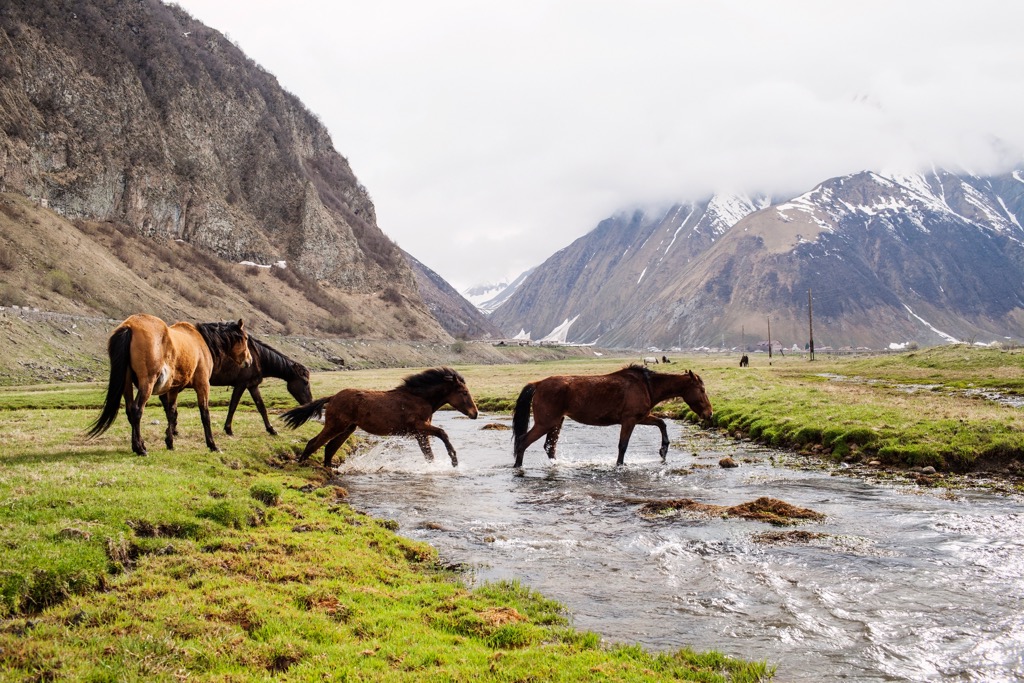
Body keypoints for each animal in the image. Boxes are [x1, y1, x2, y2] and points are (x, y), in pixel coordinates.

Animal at [87, 314, 251, 455]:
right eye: (245, 338)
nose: (249, 361)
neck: (201, 341)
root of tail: (129, 326)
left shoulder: (173, 389)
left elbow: (172, 413)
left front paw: (170, 442)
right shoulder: (203, 384)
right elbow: (205, 414)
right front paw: (212, 445)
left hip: (127, 384)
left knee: (129, 411)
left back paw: (139, 445)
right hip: (147, 383)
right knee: (136, 410)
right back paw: (140, 449)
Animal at [280, 367, 478, 468]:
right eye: (464, 392)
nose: (475, 413)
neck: (419, 398)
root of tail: (333, 397)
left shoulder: (420, 434)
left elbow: (429, 455)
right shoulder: (419, 427)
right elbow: (443, 433)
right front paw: (454, 460)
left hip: (347, 428)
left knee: (329, 448)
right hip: (336, 425)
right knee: (314, 443)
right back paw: (301, 464)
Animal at [512, 364, 713, 467]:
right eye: (702, 390)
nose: (709, 414)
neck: (646, 385)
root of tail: (538, 384)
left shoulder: (641, 417)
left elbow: (661, 423)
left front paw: (663, 450)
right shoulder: (629, 420)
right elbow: (623, 446)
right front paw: (619, 465)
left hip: (556, 422)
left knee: (549, 447)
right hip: (545, 423)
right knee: (523, 442)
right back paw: (518, 467)